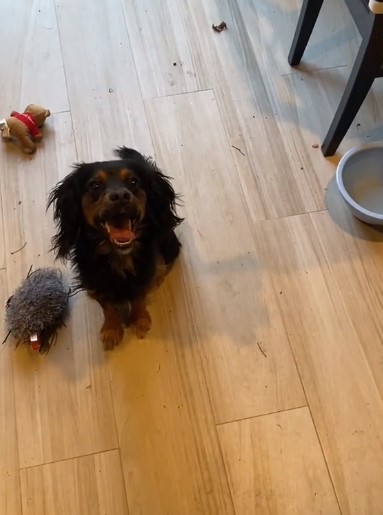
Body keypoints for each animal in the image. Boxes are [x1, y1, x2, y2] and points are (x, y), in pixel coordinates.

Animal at [47, 148, 183, 350]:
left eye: (133, 181)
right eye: (95, 185)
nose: (120, 196)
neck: (119, 254)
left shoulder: (144, 273)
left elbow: (139, 296)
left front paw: (139, 320)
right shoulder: (96, 281)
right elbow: (107, 307)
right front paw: (111, 330)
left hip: (168, 246)